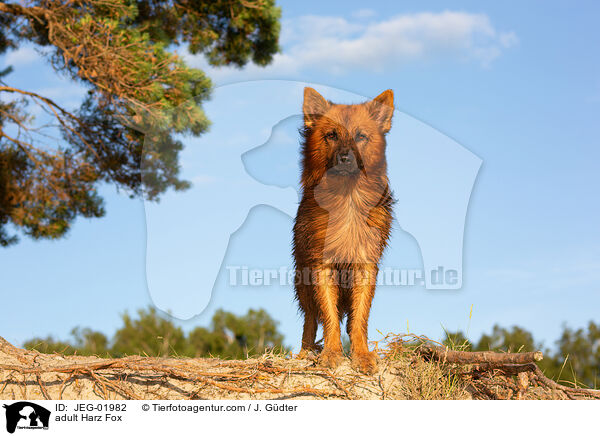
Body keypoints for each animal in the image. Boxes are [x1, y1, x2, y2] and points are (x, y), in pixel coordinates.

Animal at [294, 87, 396, 372]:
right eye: (332, 135)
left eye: (361, 136)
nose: (345, 157)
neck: (347, 197)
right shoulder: (321, 267)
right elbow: (328, 316)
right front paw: (331, 353)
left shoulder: (365, 267)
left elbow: (359, 319)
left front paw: (361, 355)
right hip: (302, 283)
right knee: (309, 320)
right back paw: (304, 353)